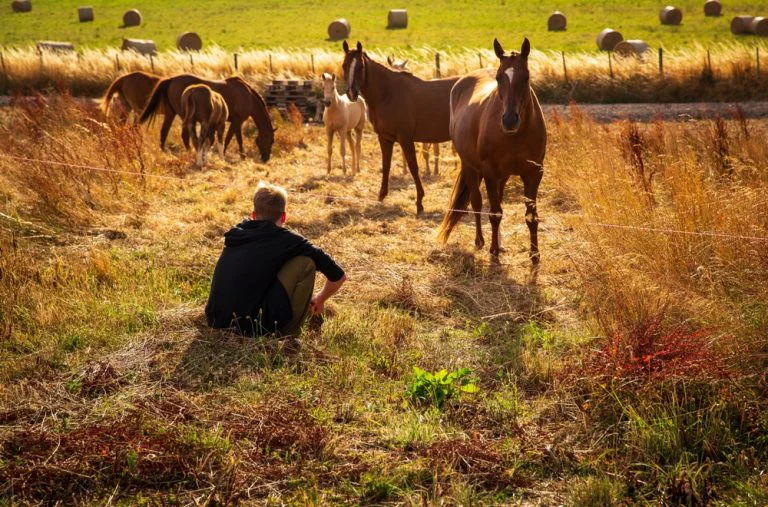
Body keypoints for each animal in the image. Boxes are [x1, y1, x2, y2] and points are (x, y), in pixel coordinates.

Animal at [139, 74, 275, 162]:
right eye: (271, 140)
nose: (266, 158)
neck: (249, 97)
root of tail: (171, 79)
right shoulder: (236, 121)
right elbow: (229, 138)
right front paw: (223, 154)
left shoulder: (237, 122)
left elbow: (238, 138)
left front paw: (242, 155)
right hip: (184, 117)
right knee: (185, 136)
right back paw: (191, 152)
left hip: (171, 114)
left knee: (164, 132)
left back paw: (165, 152)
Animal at [342, 41, 460, 214]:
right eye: (344, 66)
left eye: (361, 67)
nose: (351, 93)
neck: (387, 93)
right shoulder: (384, 138)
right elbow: (386, 166)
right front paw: (381, 196)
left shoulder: (405, 138)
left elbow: (413, 167)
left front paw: (419, 202)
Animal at [438, 38, 547, 263]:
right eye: (498, 78)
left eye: (526, 77)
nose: (509, 120)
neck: (515, 135)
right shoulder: (489, 172)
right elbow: (494, 213)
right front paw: (493, 252)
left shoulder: (534, 173)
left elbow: (531, 216)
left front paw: (534, 254)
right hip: (470, 167)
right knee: (477, 202)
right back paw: (480, 241)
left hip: (501, 177)